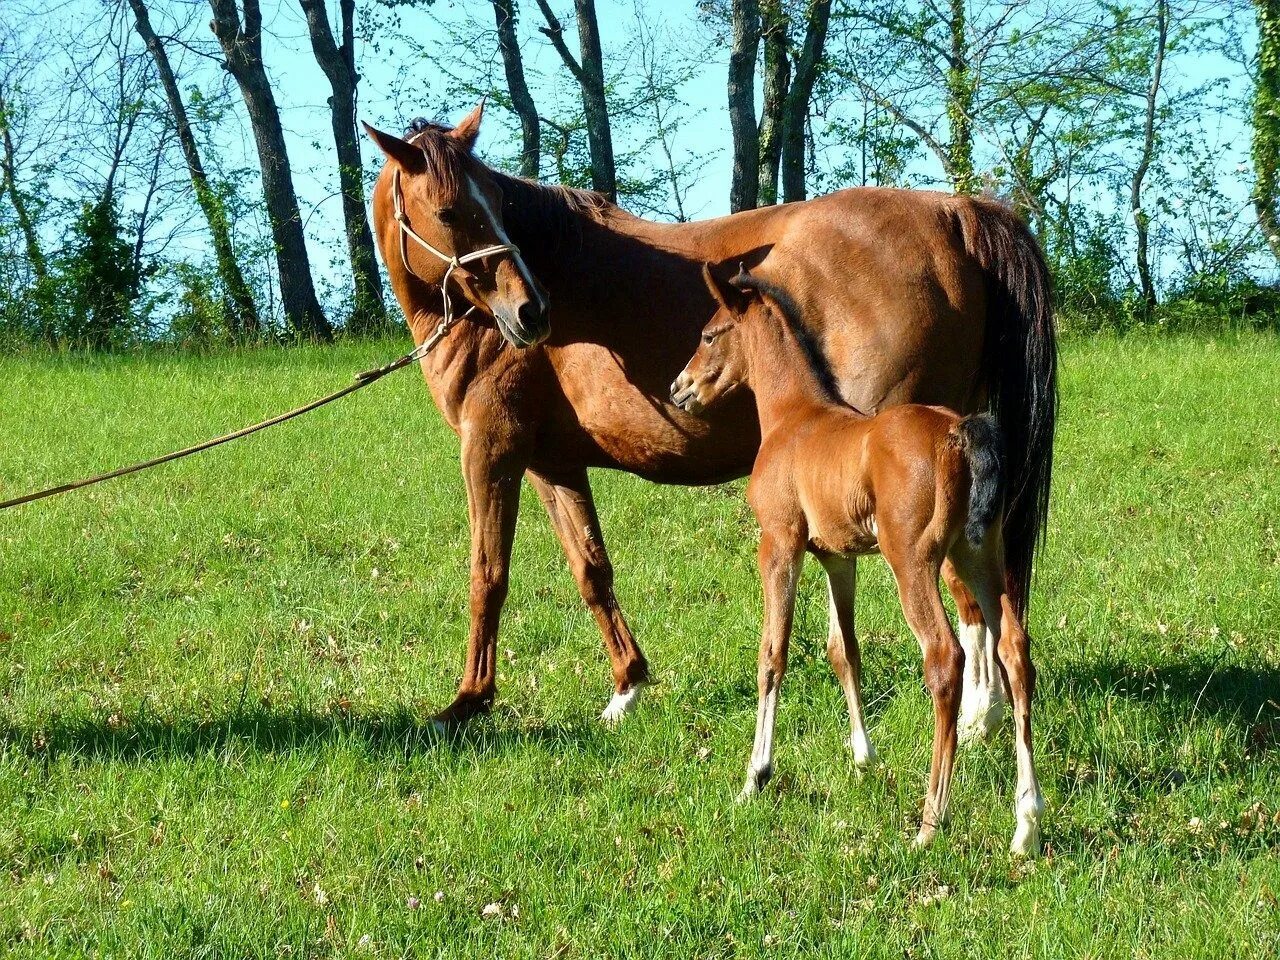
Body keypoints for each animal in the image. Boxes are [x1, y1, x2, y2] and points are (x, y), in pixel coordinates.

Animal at [670, 263, 1039, 855]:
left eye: (708, 334)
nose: (678, 389)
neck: (793, 418)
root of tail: (958, 433)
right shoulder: (837, 559)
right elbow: (844, 650)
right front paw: (863, 756)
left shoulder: (779, 543)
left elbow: (772, 655)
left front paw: (755, 776)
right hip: (978, 555)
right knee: (1015, 651)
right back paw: (1026, 821)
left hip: (913, 562)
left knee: (946, 658)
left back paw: (930, 821)